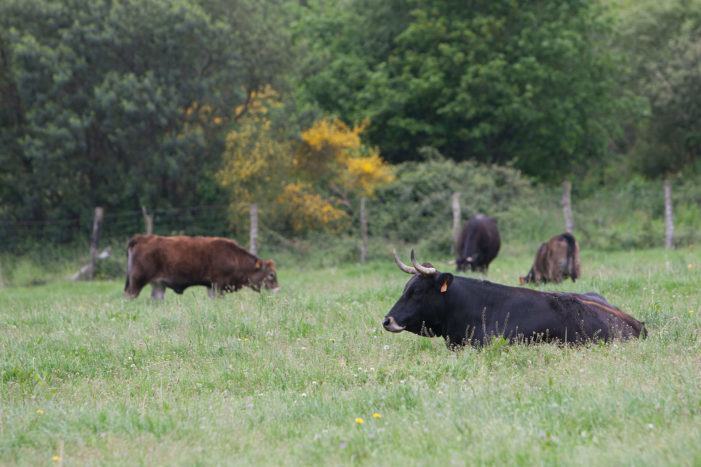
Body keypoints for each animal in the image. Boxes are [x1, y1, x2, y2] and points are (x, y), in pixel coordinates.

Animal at [123, 234, 278, 300]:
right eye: (271, 274)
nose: (277, 289)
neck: (234, 257)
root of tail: (141, 238)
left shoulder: (211, 286)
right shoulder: (218, 284)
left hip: (158, 284)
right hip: (137, 281)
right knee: (129, 295)